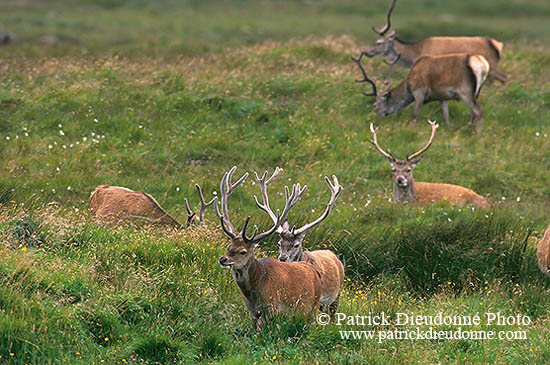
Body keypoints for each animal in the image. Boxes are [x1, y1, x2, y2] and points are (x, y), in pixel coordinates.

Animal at [217, 166, 324, 328]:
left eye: (243, 251)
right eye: (229, 246)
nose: (223, 259)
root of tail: (315, 271)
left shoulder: (272, 307)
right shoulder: (252, 312)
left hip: (314, 307)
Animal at [354, 51, 492, 135]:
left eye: (375, 105)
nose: (376, 118)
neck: (409, 85)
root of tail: (482, 64)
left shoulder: (419, 91)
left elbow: (415, 114)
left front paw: (411, 129)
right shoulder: (443, 97)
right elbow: (445, 117)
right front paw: (447, 129)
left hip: (465, 90)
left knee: (478, 110)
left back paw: (477, 135)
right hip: (477, 91)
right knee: (474, 111)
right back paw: (469, 129)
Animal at [366, 0, 508, 82]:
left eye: (378, 42)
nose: (366, 52)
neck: (415, 52)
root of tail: (498, 45)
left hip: (492, 67)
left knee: (505, 78)